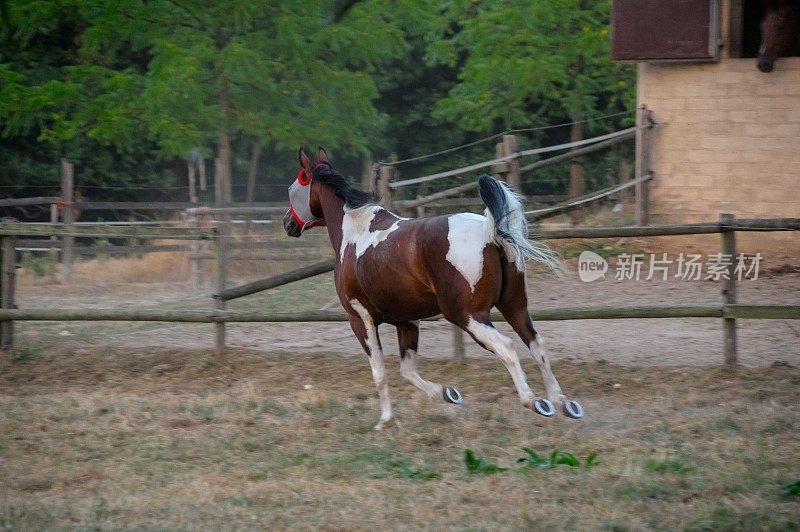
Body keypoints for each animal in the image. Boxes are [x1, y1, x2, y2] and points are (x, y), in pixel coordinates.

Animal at [284, 148, 584, 430]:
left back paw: (535, 401)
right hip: (514, 307)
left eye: (296, 183)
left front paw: (385, 421)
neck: (355, 232)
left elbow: (380, 373)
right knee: (536, 344)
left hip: (468, 316)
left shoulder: (361, 319)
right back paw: (562, 403)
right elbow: (407, 370)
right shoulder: (406, 321)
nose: (288, 223)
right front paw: (447, 393)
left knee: (507, 347)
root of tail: (491, 232)